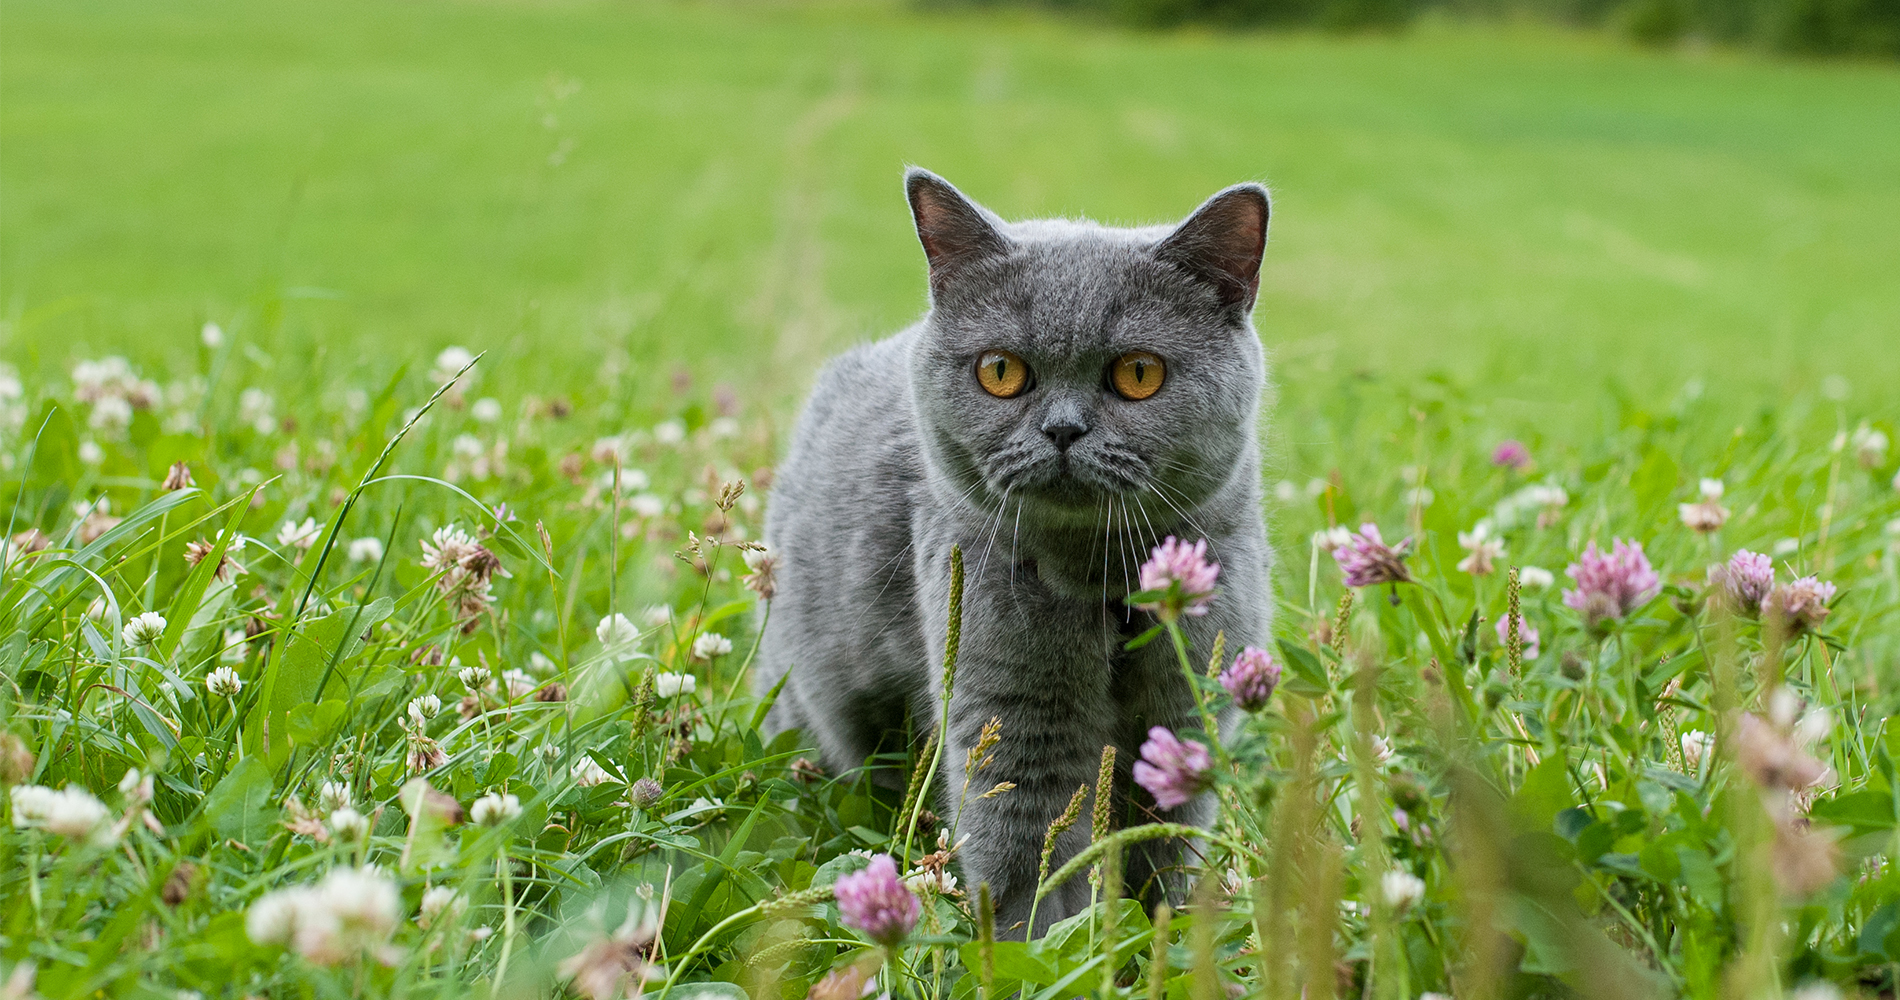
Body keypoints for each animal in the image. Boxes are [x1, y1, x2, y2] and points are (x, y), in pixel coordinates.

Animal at [756, 173, 1276, 942]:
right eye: (1001, 371)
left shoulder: (1186, 711)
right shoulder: (1012, 714)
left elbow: (1162, 841)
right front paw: (1041, 947)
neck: (1100, 581)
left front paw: (1162, 932)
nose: (1063, 429)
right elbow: (1030, 856)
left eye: (1140, 373)